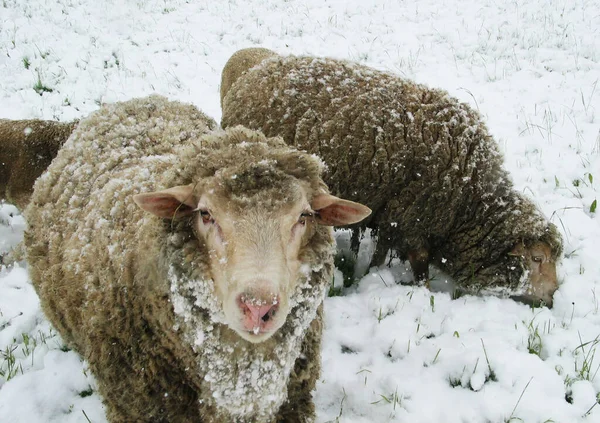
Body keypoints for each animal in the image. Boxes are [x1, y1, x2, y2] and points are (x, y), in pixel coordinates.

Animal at [219, 48, 564, 308]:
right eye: (536, 258)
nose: (552, 298)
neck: (467, 204)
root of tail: (252, 75)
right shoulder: (415, 220)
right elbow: (421, 266)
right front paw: (423, 295)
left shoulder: (393, 215)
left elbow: (382, 250)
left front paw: (372, 273)